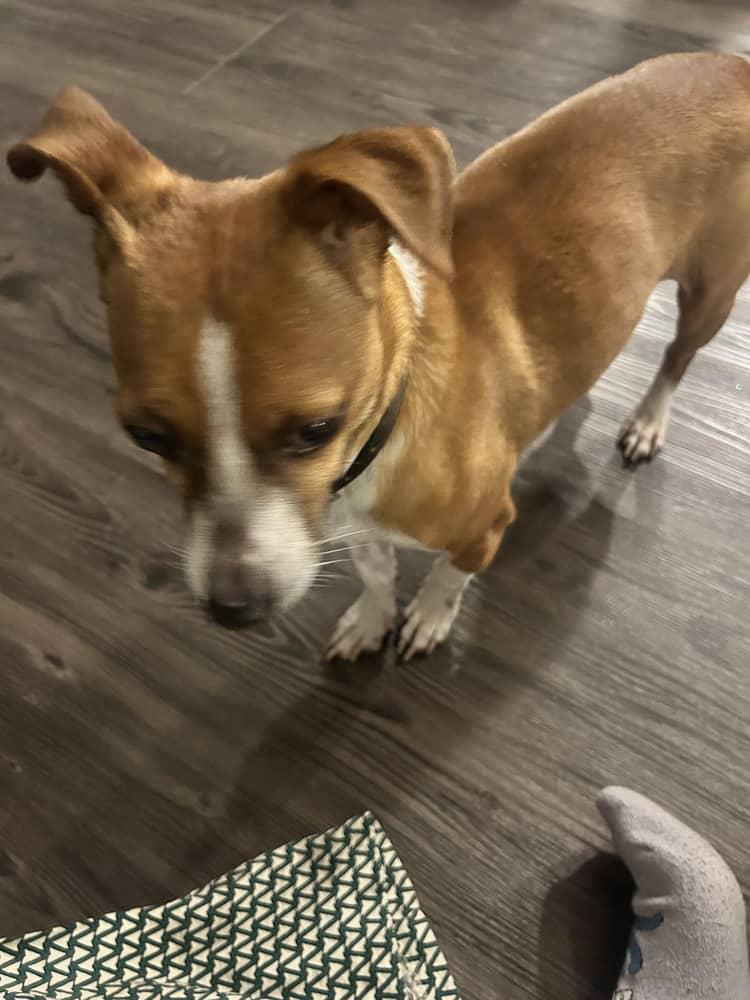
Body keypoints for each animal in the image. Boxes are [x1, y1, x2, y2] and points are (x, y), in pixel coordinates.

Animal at [8, 53, 750, 660]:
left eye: (316, 430)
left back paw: (648, 421)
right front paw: (373, 617)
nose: (235, 608)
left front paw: (428, 616)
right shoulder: (355, 522)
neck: (380, 438)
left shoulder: (484, 527)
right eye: (146, 436)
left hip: (711, 293)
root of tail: (731, 64)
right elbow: (375, 570)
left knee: (675, 359)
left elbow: (449, 576)